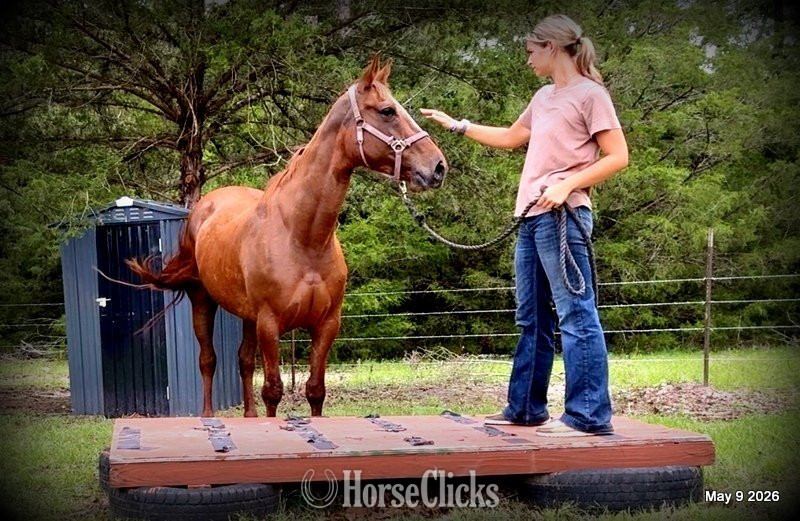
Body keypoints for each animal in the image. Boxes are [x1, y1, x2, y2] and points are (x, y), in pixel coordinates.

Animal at [128, 56, 448, 417]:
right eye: (387, 111)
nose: (438, 167)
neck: (303, 237)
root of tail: (203, 208)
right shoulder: (270, 324)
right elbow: (273, 391)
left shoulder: (326, 325)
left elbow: (315, 390)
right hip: (203, 301)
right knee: (208, 361)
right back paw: (208, 416)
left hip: (246, 316)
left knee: (242, 361)